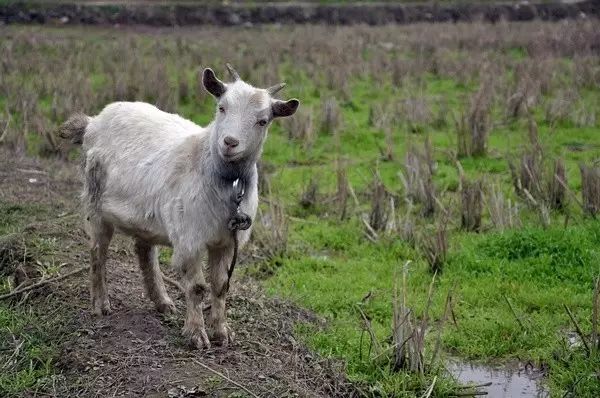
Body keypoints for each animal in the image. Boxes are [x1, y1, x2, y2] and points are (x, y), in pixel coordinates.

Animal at [58, 65, 298, 348]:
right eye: (222, 107)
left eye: (263, 120)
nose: (229, 142)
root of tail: (93, 122)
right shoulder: (189, 239)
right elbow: (196, 288)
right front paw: (196, 334)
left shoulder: (227, 242)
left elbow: (221, 286)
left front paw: (222, 331)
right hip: (95, 205)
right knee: (97, 251)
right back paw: (101, 304)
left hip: (145, 213)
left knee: (144, 250)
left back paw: (162, 301)